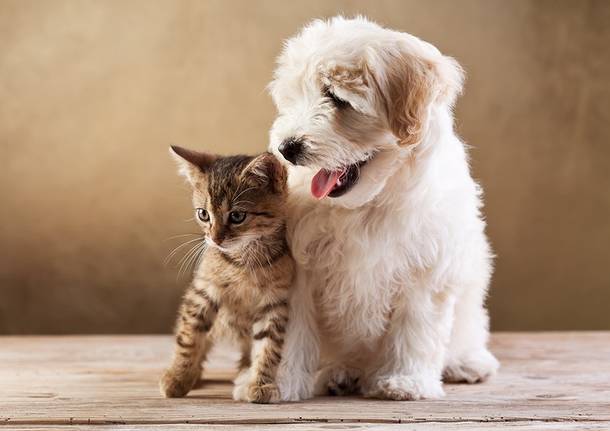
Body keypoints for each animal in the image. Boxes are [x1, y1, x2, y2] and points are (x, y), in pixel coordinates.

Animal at [159, 146, 294, 404]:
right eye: (203, 214)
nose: (214, 239)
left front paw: (260, 383)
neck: (243, 262)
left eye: (237, 216)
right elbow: (189, 337)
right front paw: (177, 378)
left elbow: (269, 347)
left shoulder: (274, 302)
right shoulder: (202, 291)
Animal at [268, 16, 496, 402]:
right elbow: (291, 329)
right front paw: (276, 382)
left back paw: (466, 363)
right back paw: (340, 373)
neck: (367, 204)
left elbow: (415, 327)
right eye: (293, 97)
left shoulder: (426, 267)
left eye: (337, 98)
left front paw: (405, 381)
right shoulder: (299, 267)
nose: (287, 147)